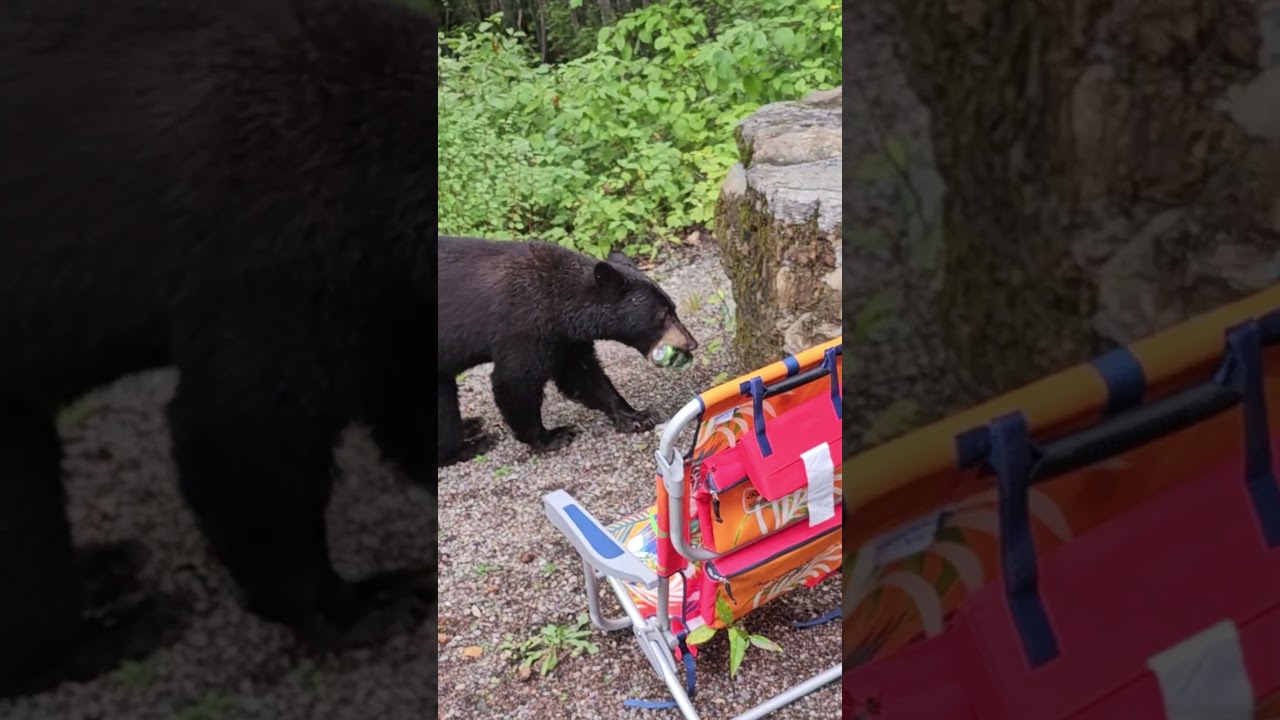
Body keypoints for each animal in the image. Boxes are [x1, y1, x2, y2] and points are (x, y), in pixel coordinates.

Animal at [0, 0, 439, 699]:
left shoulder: (370, 278)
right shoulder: (281, 243)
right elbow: (246, 427)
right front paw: (364, 602)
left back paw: (100, 569)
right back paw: (111, 633)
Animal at [437, 235, 699, 467]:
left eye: (673, 308)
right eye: (664, 315)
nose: (691, 343)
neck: (560, 303)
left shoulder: (565, 339)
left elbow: (582, 374)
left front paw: (636, 416)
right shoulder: (524, 326)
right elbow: (515, 380)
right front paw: (551, 436)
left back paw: (469, 425)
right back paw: (471, 445)